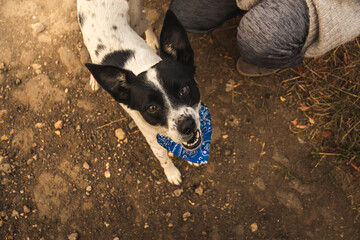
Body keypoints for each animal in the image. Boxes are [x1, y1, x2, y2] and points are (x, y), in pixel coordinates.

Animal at [77, 0, 201, 185]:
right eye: (152, 108)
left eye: (184, 89)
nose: (187, 125)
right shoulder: (153, 140)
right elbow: (163, 158)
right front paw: (171, 173)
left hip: (136, 19)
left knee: (146, 19)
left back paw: (151, 40)